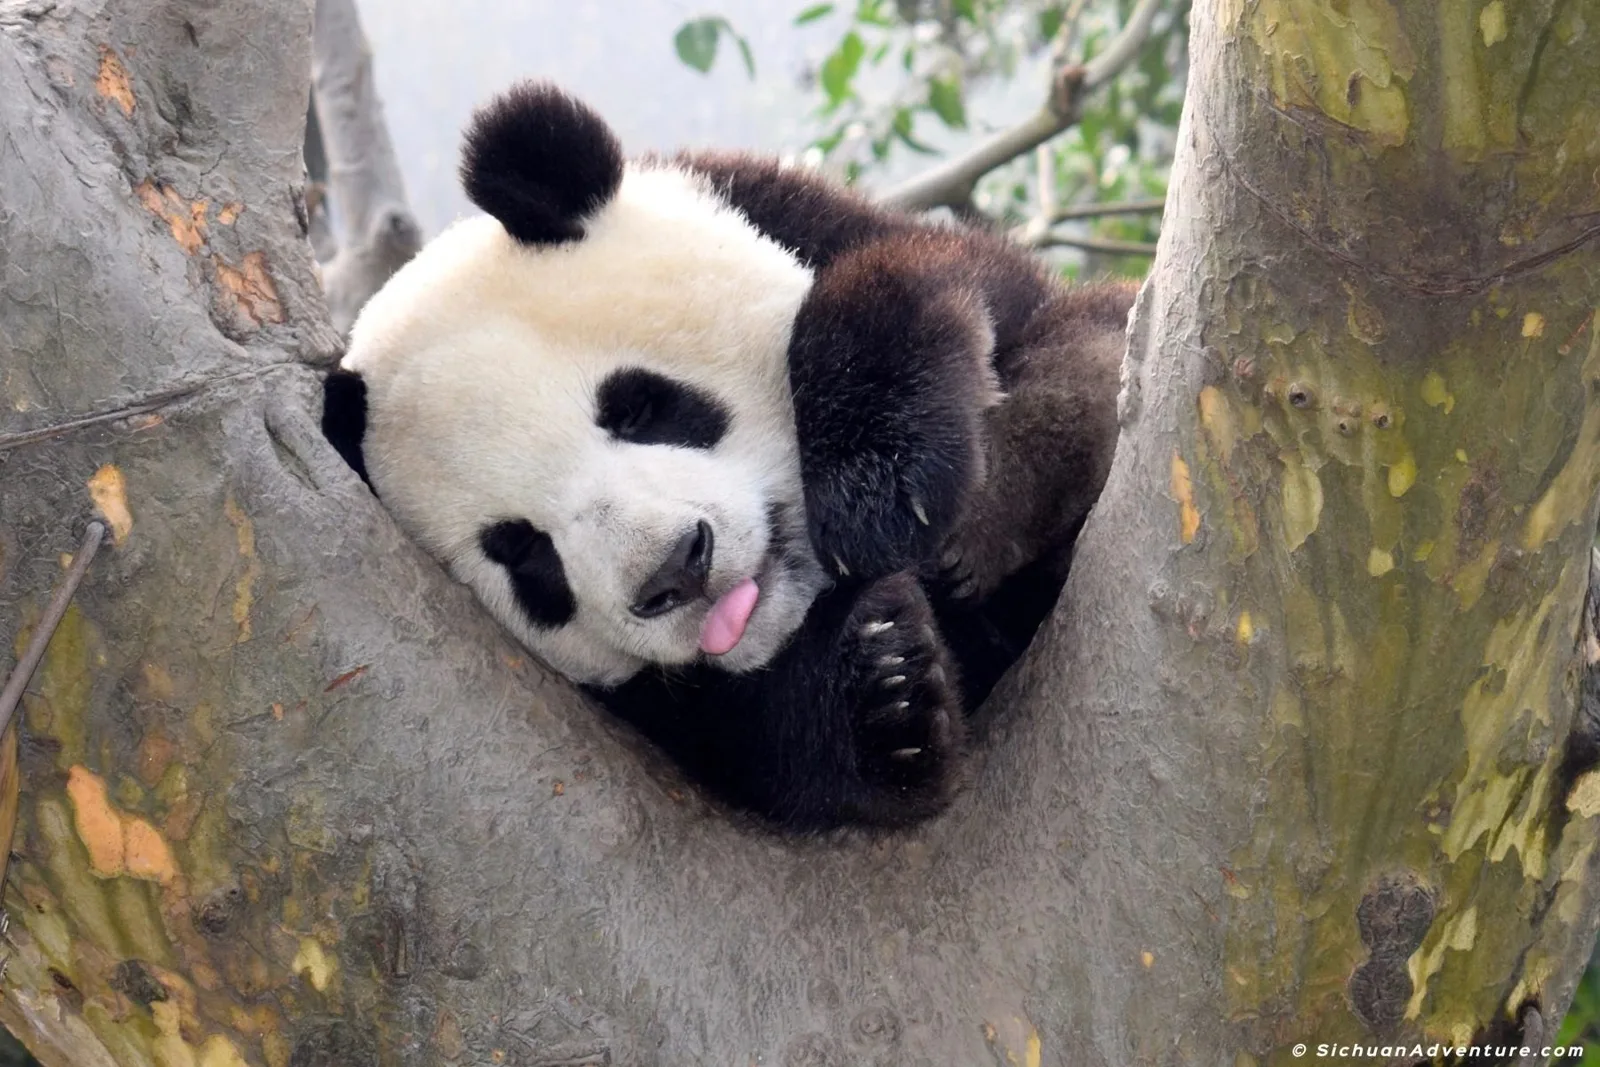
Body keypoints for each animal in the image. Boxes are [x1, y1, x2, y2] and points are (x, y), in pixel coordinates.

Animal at [321, 82, 1135, 830]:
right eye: (522, 552)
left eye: (638, 407)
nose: (677, 569)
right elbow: (748, 740)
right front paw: (882, 687)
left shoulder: (799, 215)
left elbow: (1053, 325)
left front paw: (908, 497)